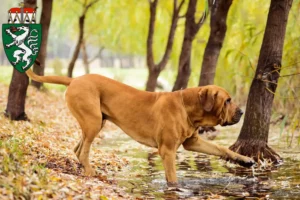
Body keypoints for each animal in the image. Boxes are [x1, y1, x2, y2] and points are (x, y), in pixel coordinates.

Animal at [26, 70, 255, 186]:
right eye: (227, 100)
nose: (242, 112)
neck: (188, 108)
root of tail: (74, 79)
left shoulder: (193, 142)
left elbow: (222, 149)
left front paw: (244, 160)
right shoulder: (167, 150)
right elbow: (172, 177)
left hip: (96, 121)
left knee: (78, 148)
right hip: (93, 121)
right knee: (83, 150)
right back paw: (91, 173)